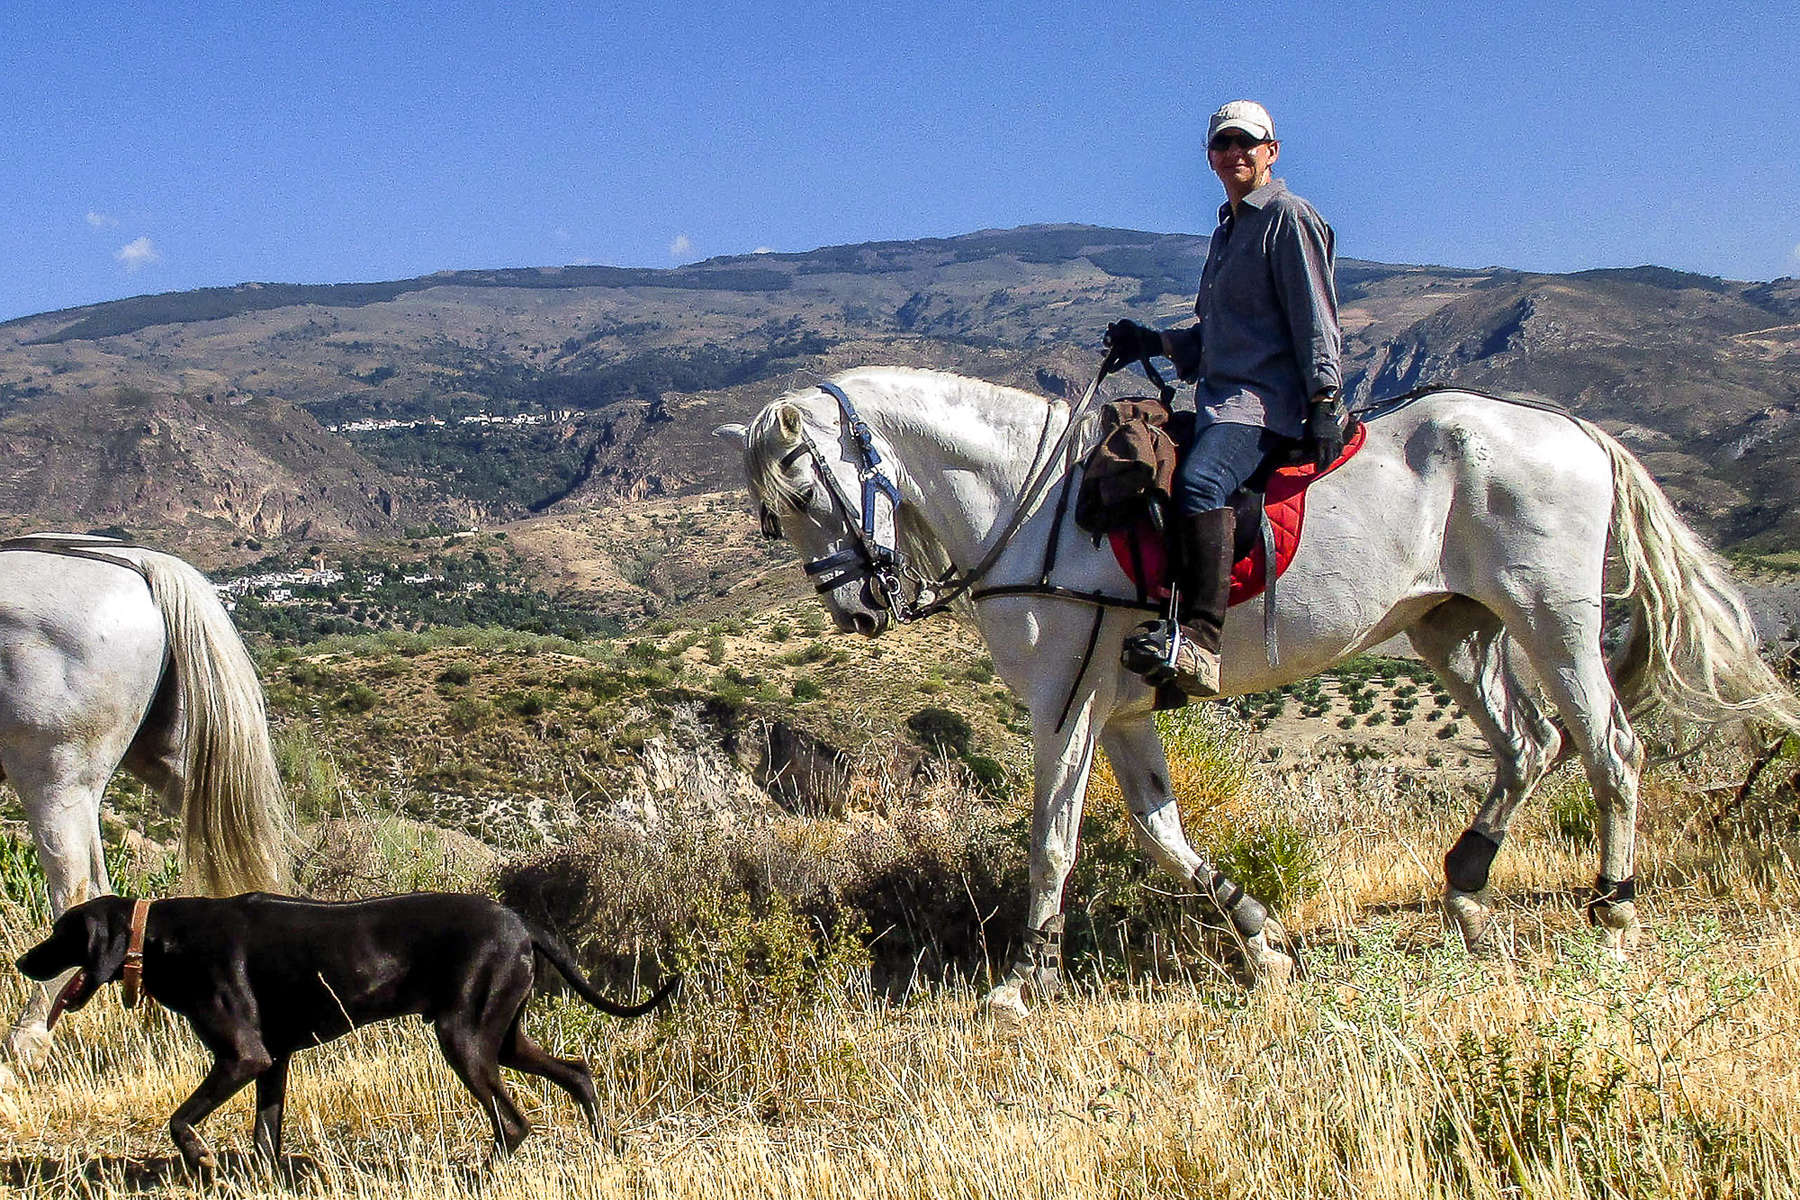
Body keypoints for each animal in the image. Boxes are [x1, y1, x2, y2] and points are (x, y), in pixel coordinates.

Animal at [17, 892, 676, 1165]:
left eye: (61, 933)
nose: (23, 961)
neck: (161, 937)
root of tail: (520, 923)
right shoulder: (273, 1062)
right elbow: (264, 1138)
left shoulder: (243, 1056)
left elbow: (180, 1120)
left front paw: (201, 1157)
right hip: (504, 1036)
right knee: (579, 1072)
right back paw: (604, 1143)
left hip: (464, 1040)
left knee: (514, 1123)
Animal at [716, 367, 1800, 1021]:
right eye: (772, 519)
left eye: (803, 491)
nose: (858, 610)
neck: (1034, 508)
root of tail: (1571, 428)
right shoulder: (1121, 713)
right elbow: (1163, 833)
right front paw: (1265, 942)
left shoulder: (1065, 709)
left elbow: (1053, 844)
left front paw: (1020, 986)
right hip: (1454, 627)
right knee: (1530, 745)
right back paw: (1465, 891)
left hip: (1551, 616)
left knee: (1610, 747)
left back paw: (1613, 914)